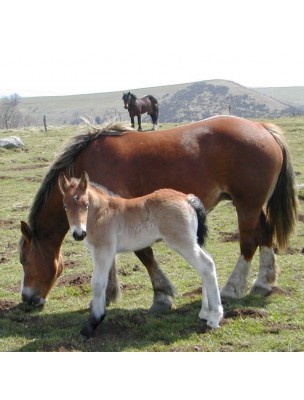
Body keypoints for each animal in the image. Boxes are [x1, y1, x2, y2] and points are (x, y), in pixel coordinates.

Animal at [19, 115, 296, 312]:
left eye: (24, 260)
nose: (27, 299)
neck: (87, 167)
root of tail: (262, 127)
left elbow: (145, 255)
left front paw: (161, 296)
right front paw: (107, 295)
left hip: (246, 206)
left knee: (248, 242)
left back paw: (232, 288)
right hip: (254, 206)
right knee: (265, 234)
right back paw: (262, 283)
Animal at [58, 171, 222, 338]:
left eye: (86, 204)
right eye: (65, 206)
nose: (79, 234)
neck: (101, 213)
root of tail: (187, 199)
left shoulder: (103, 249)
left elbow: (97, 283)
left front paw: (92, 324)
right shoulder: (105, 252)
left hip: (183, 243)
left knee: (206, 265)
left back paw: (214, 318)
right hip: (192, 242)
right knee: (205, 265)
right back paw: (205, 313)